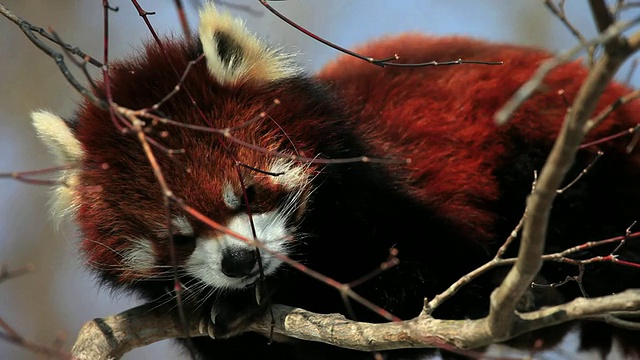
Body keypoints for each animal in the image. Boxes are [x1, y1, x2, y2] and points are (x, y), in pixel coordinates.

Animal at [31, 3, 640, 360]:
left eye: (248, 192)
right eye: (178, 236)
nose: (239, 262)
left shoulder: (394, 203)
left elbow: (425, 276)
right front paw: (225, 307)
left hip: (570, 148)